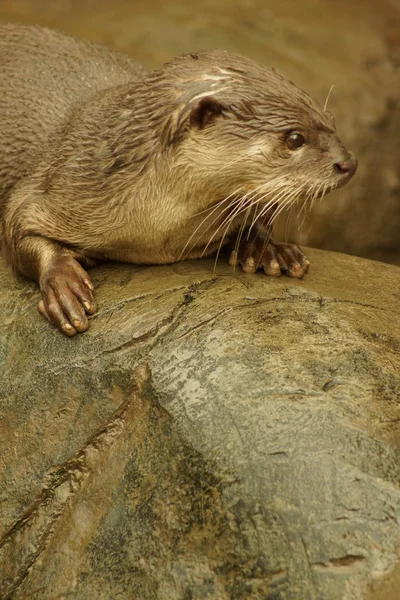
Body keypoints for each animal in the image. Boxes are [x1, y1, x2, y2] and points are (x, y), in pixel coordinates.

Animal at [0, 23, 356, 336]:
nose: (349, 162)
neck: (158, 230)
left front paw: (267, 247)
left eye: (330, 120)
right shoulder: (59, 178)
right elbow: (16, 226)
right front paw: (64, 285)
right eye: (295, 138)